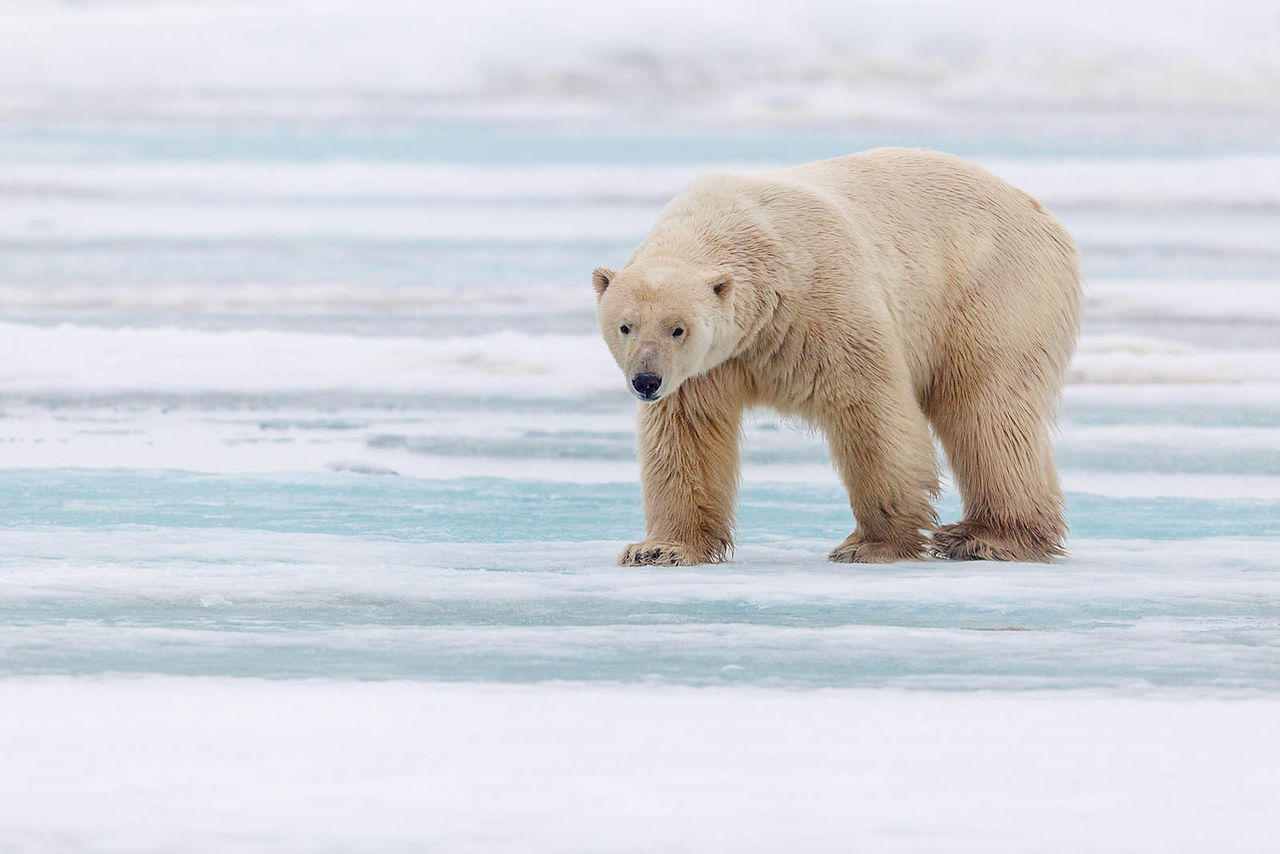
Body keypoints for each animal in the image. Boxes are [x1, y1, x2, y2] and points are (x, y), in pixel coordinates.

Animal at [593, 147, 1081, 566]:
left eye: (678, 328)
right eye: (625, 326)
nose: (646, 381)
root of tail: (1043, 215)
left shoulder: (819, 304)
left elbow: (869, 408)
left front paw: (871, 543)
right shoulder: (710, 365)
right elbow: (685, 434)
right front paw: (658, 548)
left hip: (991, 290)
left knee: (986, 409)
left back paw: (986, 536)